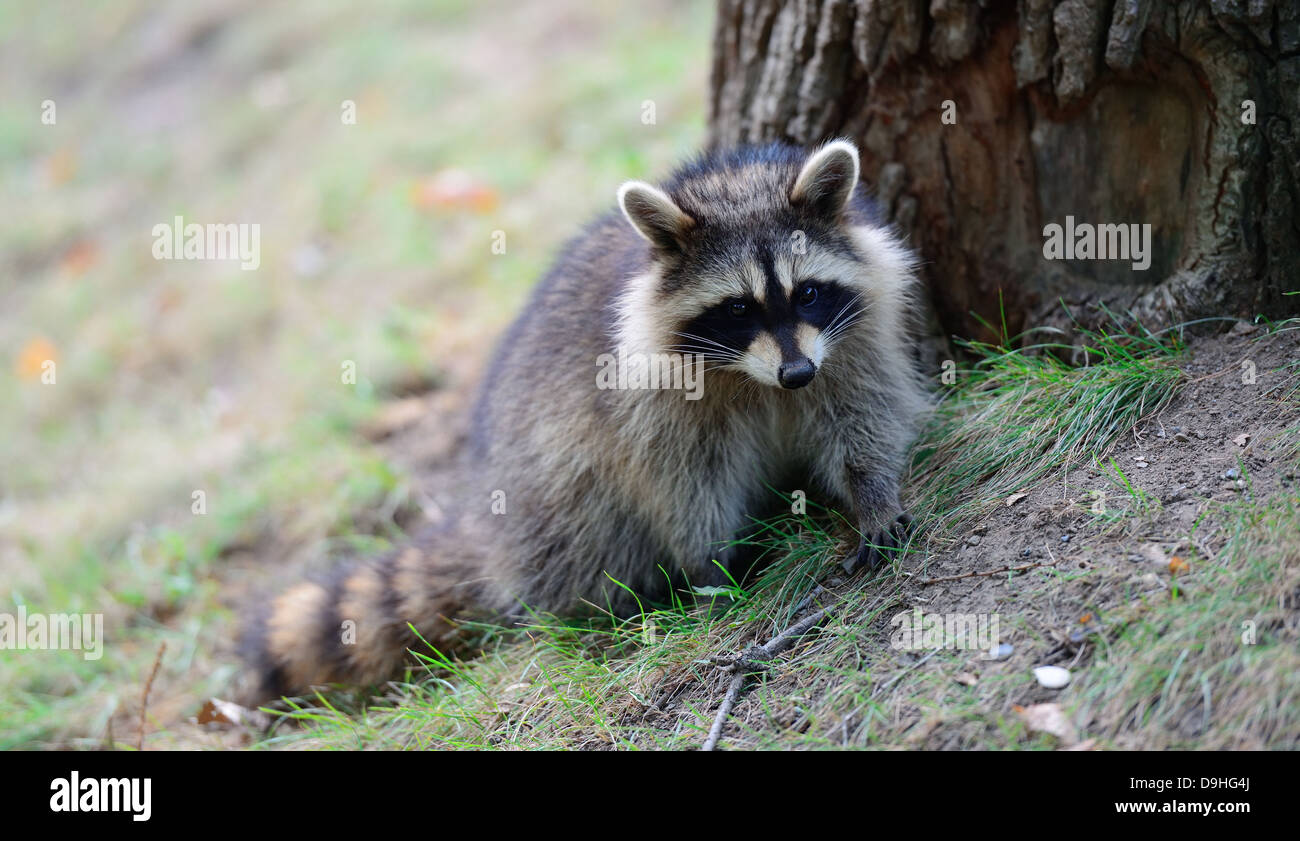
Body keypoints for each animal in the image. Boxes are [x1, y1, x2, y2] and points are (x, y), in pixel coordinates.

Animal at [244, 141, 930, 701]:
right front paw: (711, 563)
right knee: (587, 526)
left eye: (807, 291)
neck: (755, 377)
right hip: (550, 485)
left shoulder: (853, 340)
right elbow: (683, 482)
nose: (796, 375)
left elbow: (863, 418)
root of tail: (489, 529)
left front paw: (871, 495)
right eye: (738, 308)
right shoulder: (651, 399)